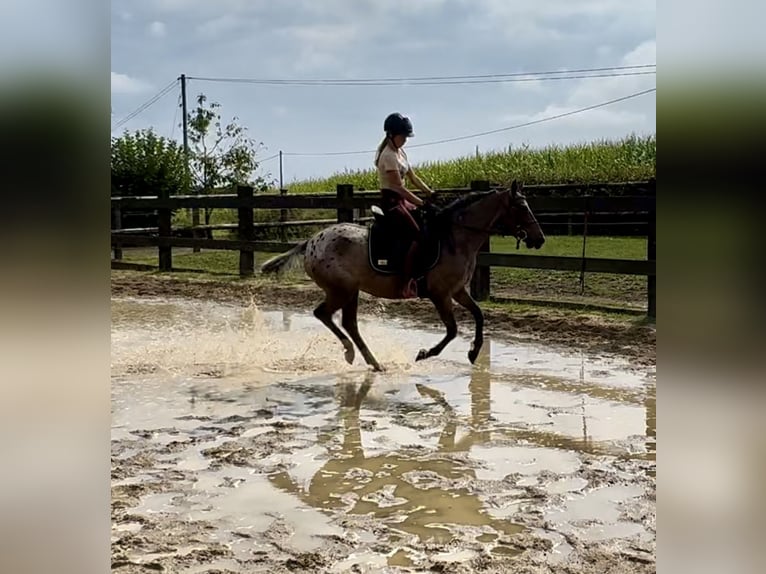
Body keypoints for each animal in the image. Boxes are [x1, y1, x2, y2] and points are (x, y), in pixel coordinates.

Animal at [262, 180, 544, 374]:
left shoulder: (458, 291)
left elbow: (478, 315)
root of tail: (311, 242)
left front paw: (474, 352)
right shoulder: (440, 294)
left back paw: (374, 363)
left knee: (349, 323)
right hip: (341, 290)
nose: (539, 239)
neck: (456, 237)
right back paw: (351, 353)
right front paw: (425, 353)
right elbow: (452, 330)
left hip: (351, 292)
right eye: (521, 207)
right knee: (324, 314)